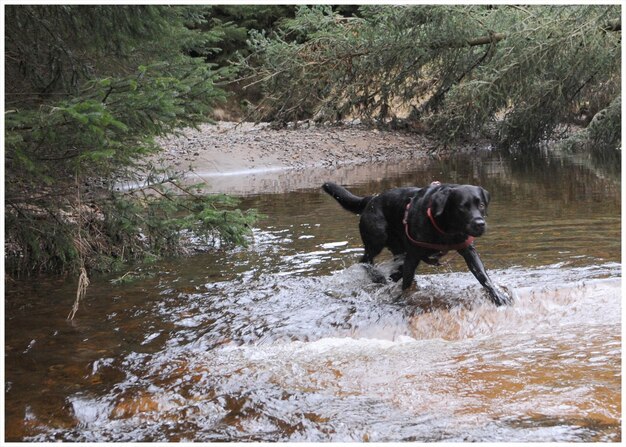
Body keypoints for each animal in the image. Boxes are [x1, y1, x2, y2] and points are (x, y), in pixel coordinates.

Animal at [322, 182, 508, 308]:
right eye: (462, 207)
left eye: (481, 205)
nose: (480, 223)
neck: (446, 228)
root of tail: (372, 199)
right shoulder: (413, 256)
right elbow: (406, 283)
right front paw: (402, 300)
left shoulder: (469, 251)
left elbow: (483, 276)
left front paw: (497, 296)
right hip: (377, 239)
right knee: (365, 260)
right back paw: (375, 276)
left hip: (397, 250)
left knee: (393, 270)